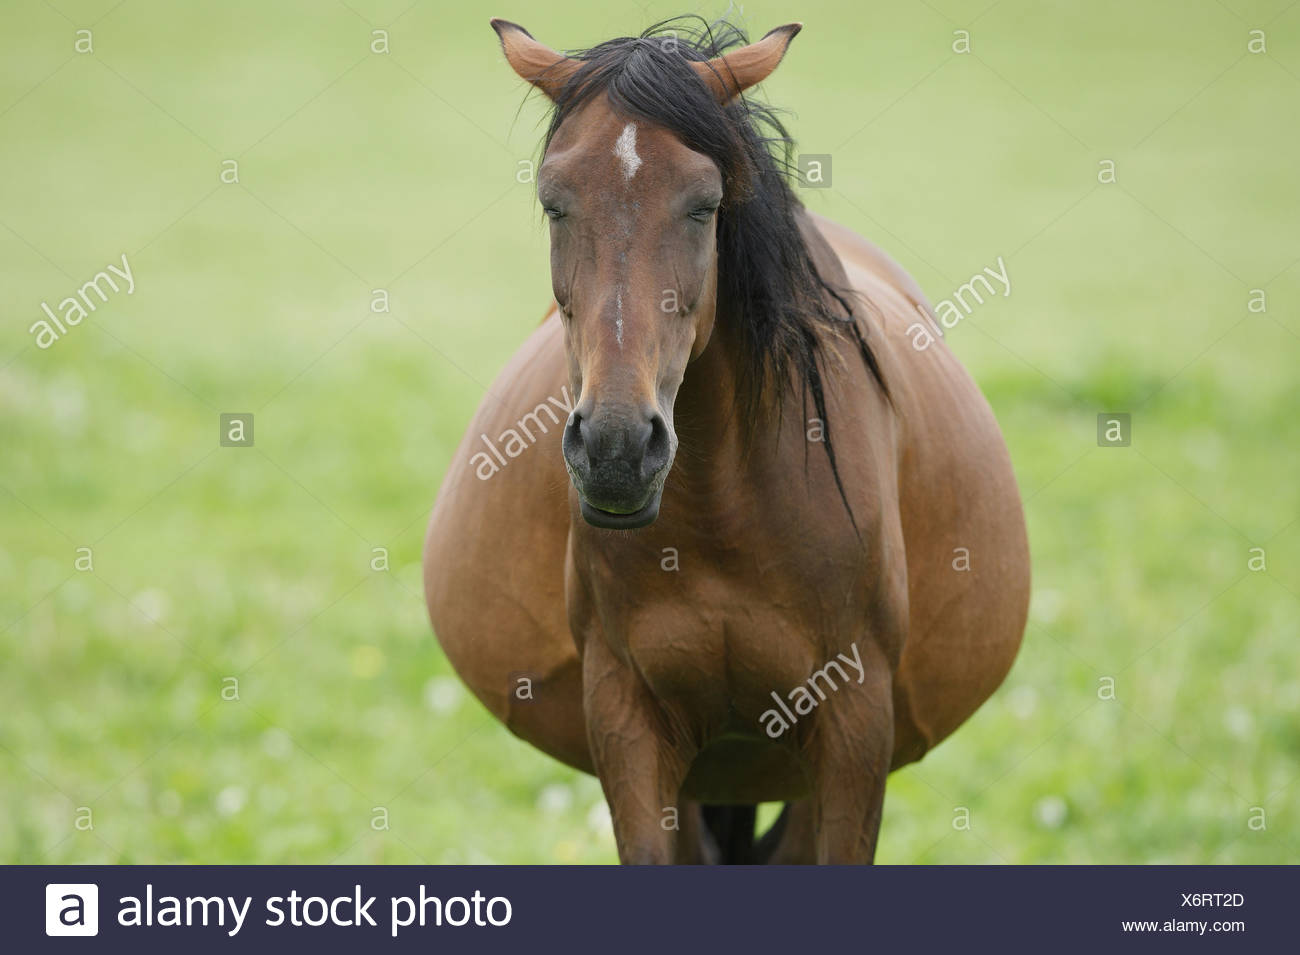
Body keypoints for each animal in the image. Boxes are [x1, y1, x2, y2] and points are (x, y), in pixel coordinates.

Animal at [423, 17, 1030, 864]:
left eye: (705, 204)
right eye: (554, 202)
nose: (616, 450)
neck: (725, 513)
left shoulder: (853, 724)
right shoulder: (629, 719)